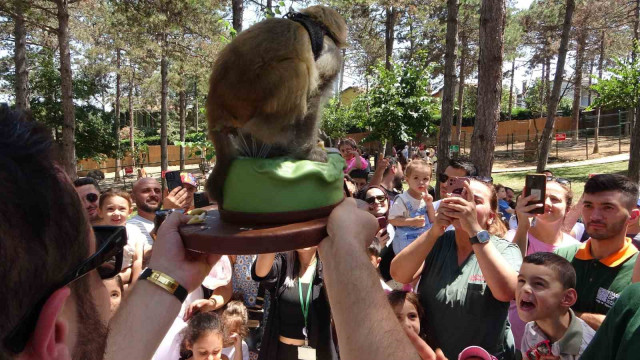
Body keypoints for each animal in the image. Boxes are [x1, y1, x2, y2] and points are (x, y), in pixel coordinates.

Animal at [205, 5, 348, 207]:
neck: (316, 23)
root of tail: (214, 107)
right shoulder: (331, 54)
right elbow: (314, 95)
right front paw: (308, 153)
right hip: (253, 93)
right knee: (300, 69)